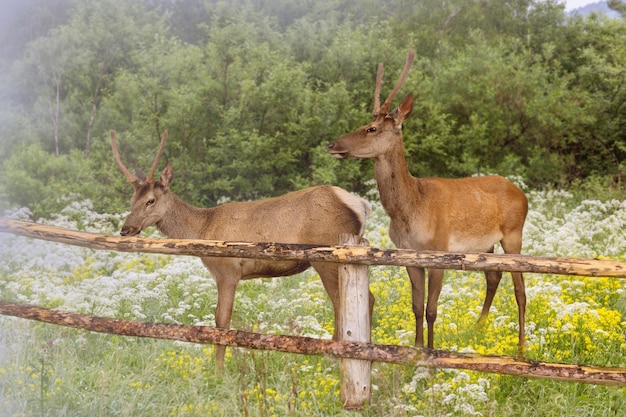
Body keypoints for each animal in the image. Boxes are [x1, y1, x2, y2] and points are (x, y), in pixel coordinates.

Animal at [110, 129, 372, 368]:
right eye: (132, 200)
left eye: (151, 200)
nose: (126, 229)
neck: (203, 229)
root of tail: (360, 204)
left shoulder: (227, 270)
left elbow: (222, 319)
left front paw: (218, 370)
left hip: (328, 258)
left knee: (347, 301)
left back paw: (335, 358)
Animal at [326, 48, 528, 354]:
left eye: (371, 128)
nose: (333, 145)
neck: (411, 210)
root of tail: (521, 193)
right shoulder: (408, 255)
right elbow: (417, 307)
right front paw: (417, 347)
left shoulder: (439, 250)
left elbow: (432, 309)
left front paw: (431, 353)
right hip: (487, 244)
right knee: (493, 278)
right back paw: (478, 328)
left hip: (514, 233)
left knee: (520, 289)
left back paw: (521, 348)